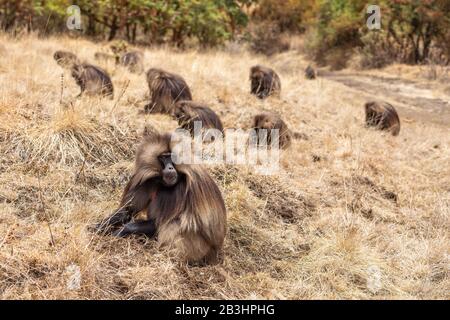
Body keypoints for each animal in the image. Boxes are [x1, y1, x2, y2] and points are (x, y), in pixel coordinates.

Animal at [95, 129, 229, 264]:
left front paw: (122, 231)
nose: (170, 168)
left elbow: (160, 223)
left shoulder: (179, 189)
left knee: (175, 225)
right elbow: (127, 211)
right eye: (164, 157)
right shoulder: (147, 182)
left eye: (172, 157)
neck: (162, 183)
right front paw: (98, 226)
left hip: (202, 250)